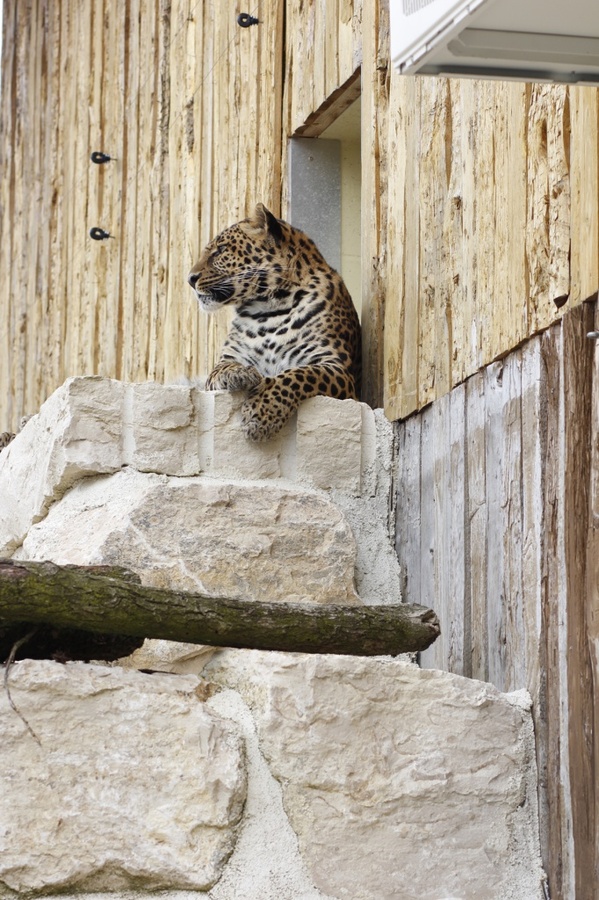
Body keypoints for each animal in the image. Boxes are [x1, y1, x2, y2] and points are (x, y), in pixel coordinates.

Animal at [189, 205, 360, 442]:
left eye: (220, 250)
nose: (190, 279)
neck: (266, 311)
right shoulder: (225, 361)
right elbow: (223, 368)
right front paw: (241, 374)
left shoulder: (336, 368)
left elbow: (299, 374)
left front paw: (262, 411)